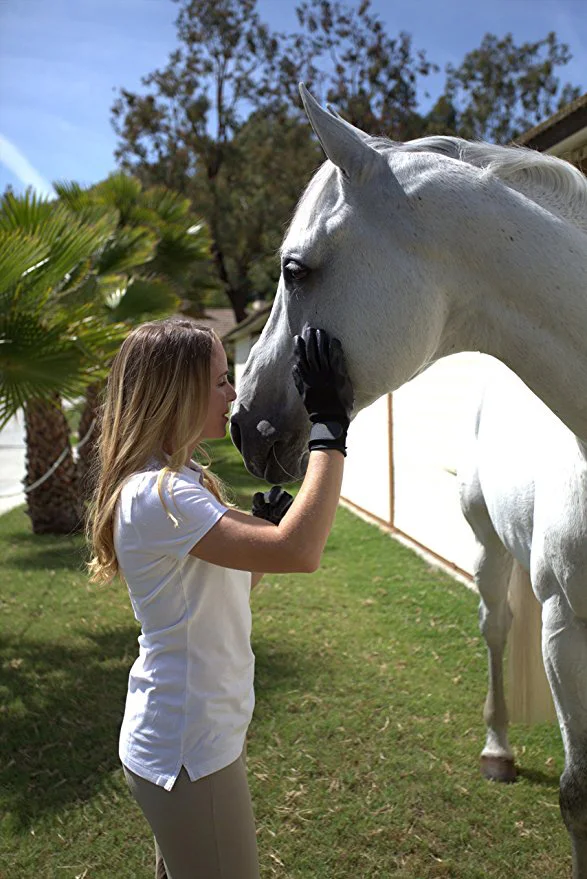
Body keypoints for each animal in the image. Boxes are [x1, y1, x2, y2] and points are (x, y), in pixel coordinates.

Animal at [230, 84, 587, 879]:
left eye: (295, 269)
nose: (241, 425)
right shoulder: (564, 629)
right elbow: (579, 796)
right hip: (489, 554)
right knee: (494, 629)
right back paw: (497, 748)